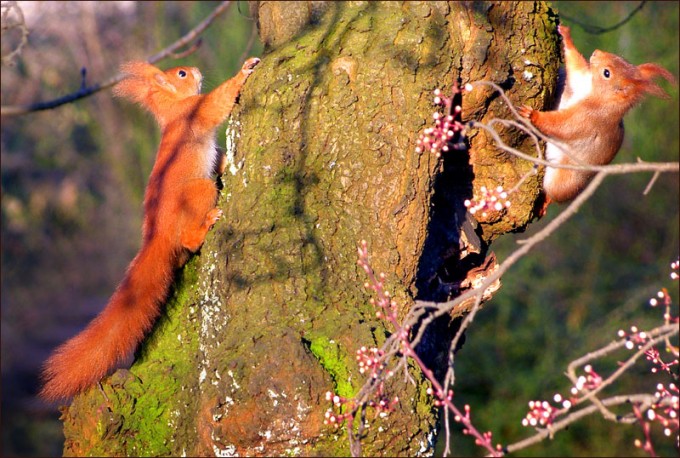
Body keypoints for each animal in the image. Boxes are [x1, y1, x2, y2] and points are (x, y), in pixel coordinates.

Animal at [39, 57, 261, 402]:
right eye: (181, 74)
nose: (196, 71)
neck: (173, 111)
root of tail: (158, 237)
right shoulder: (196, 113)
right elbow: (218, 102)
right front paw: (245, 70)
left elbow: (219, 158)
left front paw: (226, 165)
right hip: (199, 192)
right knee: (191, 235)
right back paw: (206, 225)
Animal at [519, 25, 676, 202]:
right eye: (619, 57)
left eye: (606, 73)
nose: (596, 53)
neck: (599, 96)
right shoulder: (582, 81)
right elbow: (576, 67)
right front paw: (566, 35)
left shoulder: (589, 117)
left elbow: (563, 125)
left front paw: (532, 115)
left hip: (563, 180)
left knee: (552, 192)